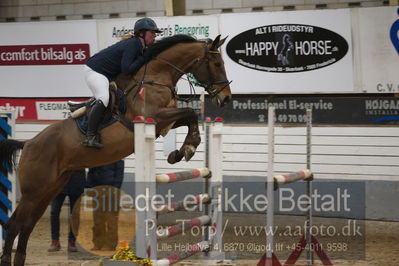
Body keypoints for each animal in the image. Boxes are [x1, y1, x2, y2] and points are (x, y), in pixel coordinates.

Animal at [0, 34, 231, 264]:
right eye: (217, 64)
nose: (226, 98)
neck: (156, 76)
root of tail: (28, 143)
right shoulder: (154, 117)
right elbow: (189, 113)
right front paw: (188, 147)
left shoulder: (165, 121)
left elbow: (188, 118)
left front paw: (182, 150)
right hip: (34, 191)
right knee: (15, 224)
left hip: (50, 188)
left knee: (27, 225)